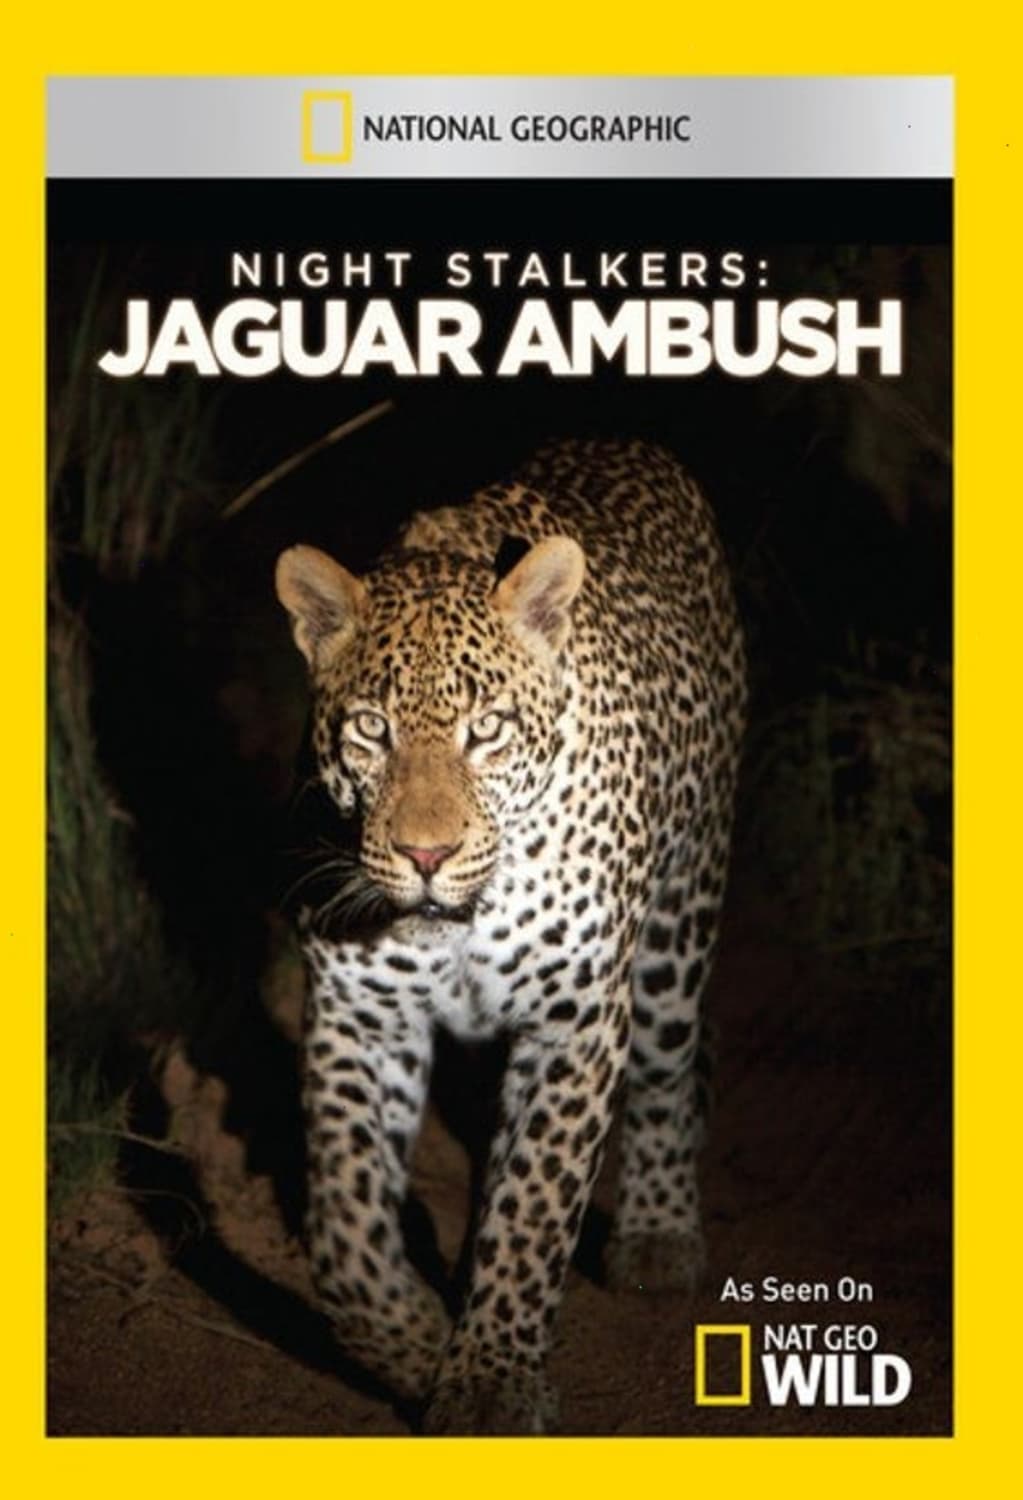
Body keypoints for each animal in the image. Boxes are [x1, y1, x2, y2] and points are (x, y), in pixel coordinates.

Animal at [274, 437, 746, 1434]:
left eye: (485, 730)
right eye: (370, 729)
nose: (424, 852)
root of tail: (632, 442)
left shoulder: (576, 1022)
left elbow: (536, 1205)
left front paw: (490, 1380)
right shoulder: (357, 1016)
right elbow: (345, 1220)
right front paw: (412, 1342)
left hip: (680, 921)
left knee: (670, 1066)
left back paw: (657, 1233)